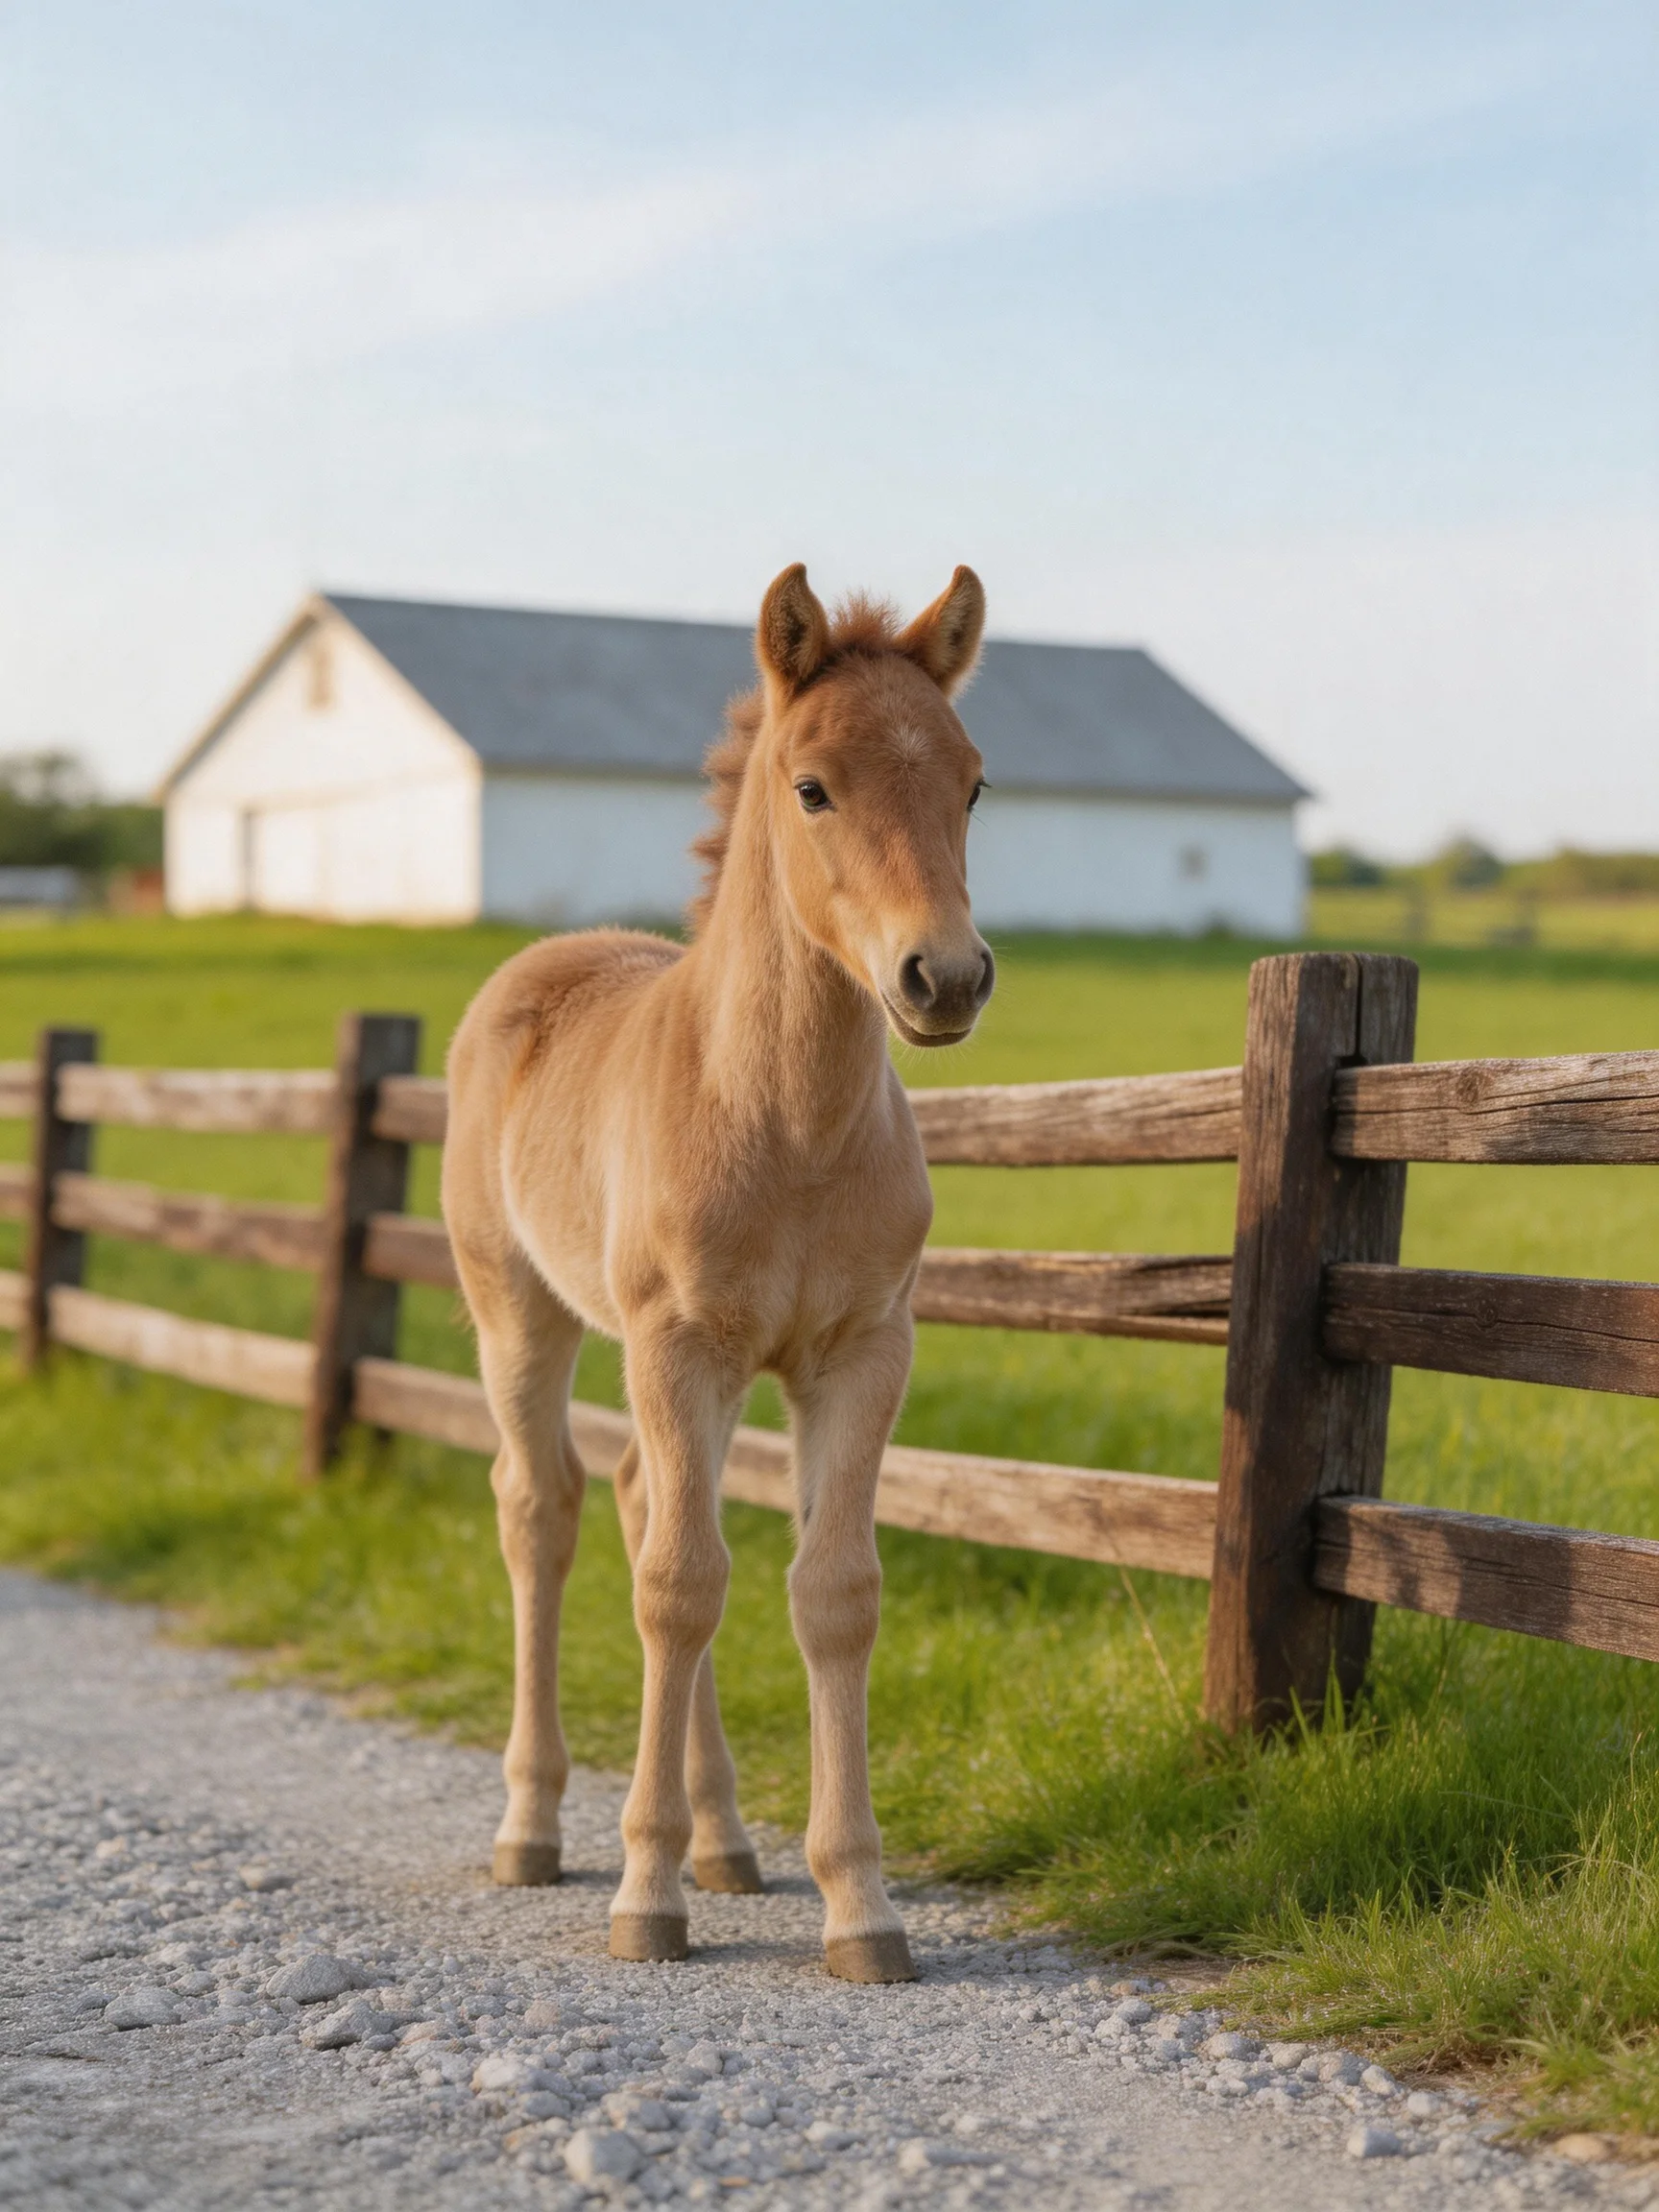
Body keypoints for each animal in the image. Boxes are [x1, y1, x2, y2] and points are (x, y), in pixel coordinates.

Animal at [441, 561, 994, 1982]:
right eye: (812, 787)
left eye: (972, 781)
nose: (945, 976)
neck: (787, 1122)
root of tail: (545, 957)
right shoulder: (676, 1342)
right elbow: (681, 1589)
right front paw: (646, 1896)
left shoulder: (859, 1351)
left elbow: (832, 1590)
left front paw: (861, 1906)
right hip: (520, 1314)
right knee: (545, 1509)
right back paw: (534, 1828)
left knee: (641, 1495)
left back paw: (727, 1842)